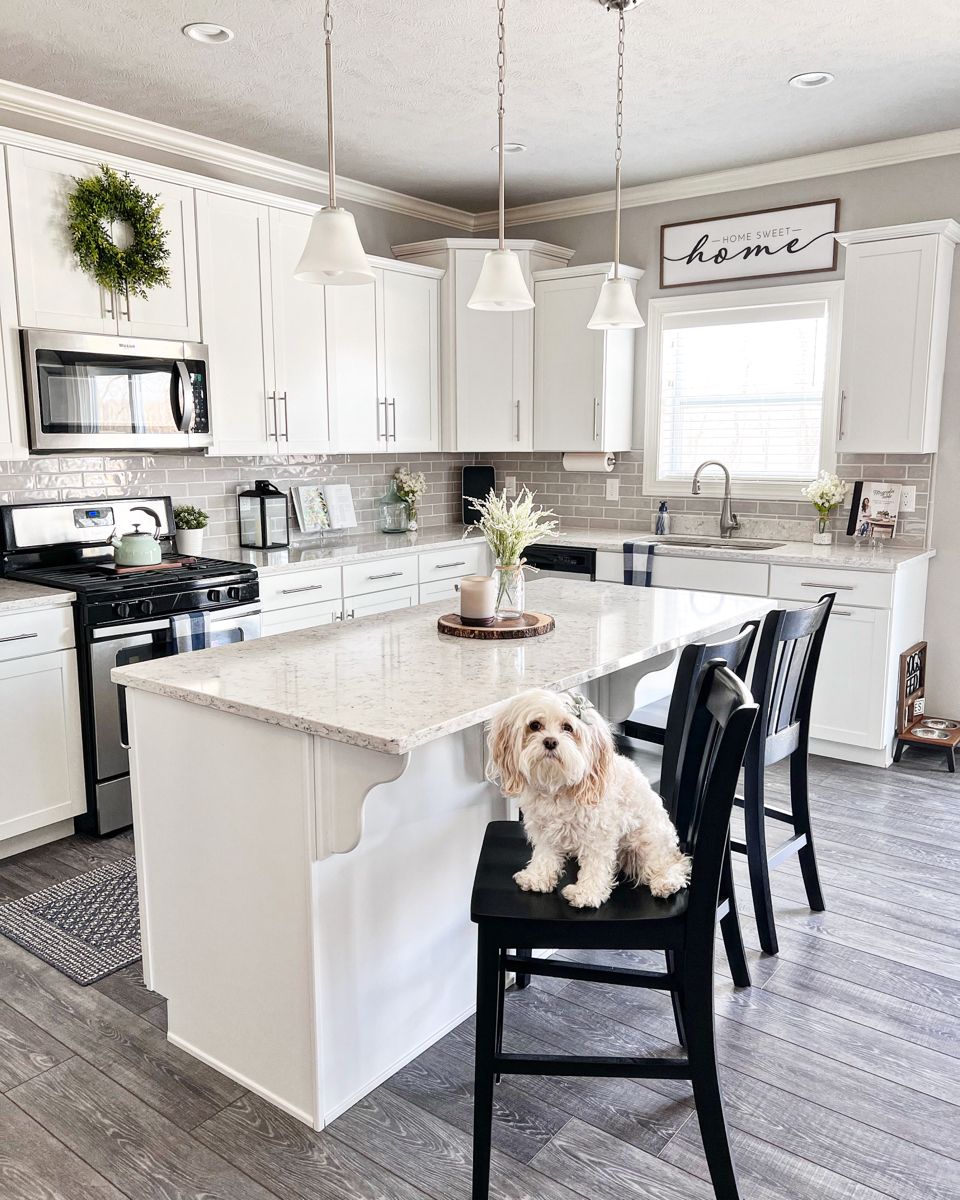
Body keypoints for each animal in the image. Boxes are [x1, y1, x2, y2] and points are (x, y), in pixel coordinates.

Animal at [487, 691, 691, 902]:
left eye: (568, 728)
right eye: (535, 725)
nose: (550, 741)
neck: (558, 786)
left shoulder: (599, 834)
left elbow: (595, 865)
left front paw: (586, 893)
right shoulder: (544, 830)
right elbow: (545, 855)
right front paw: (537, 877)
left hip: (648, 842)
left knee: (674, 863)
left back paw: (666, 881)